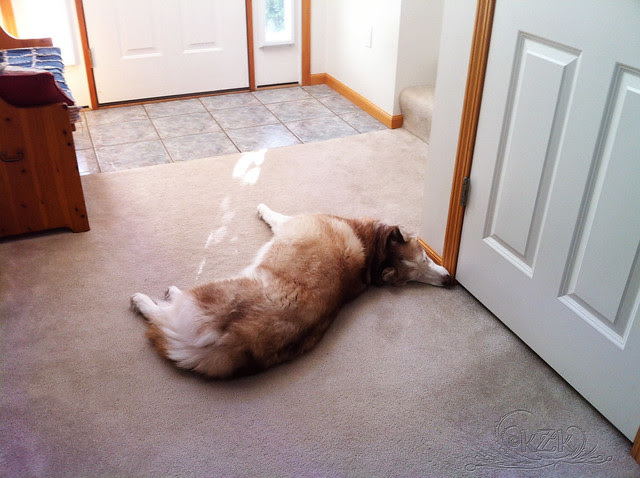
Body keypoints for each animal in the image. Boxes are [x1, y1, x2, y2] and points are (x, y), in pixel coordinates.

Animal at [130, 204, 451, 378]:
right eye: (423, 264)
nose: (449, 281)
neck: (372, 251)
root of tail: (236, 342)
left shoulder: (289, 221)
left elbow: (273, 215)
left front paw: (262, 208)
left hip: (205, 295)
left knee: (161, 314)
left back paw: (150, 298)